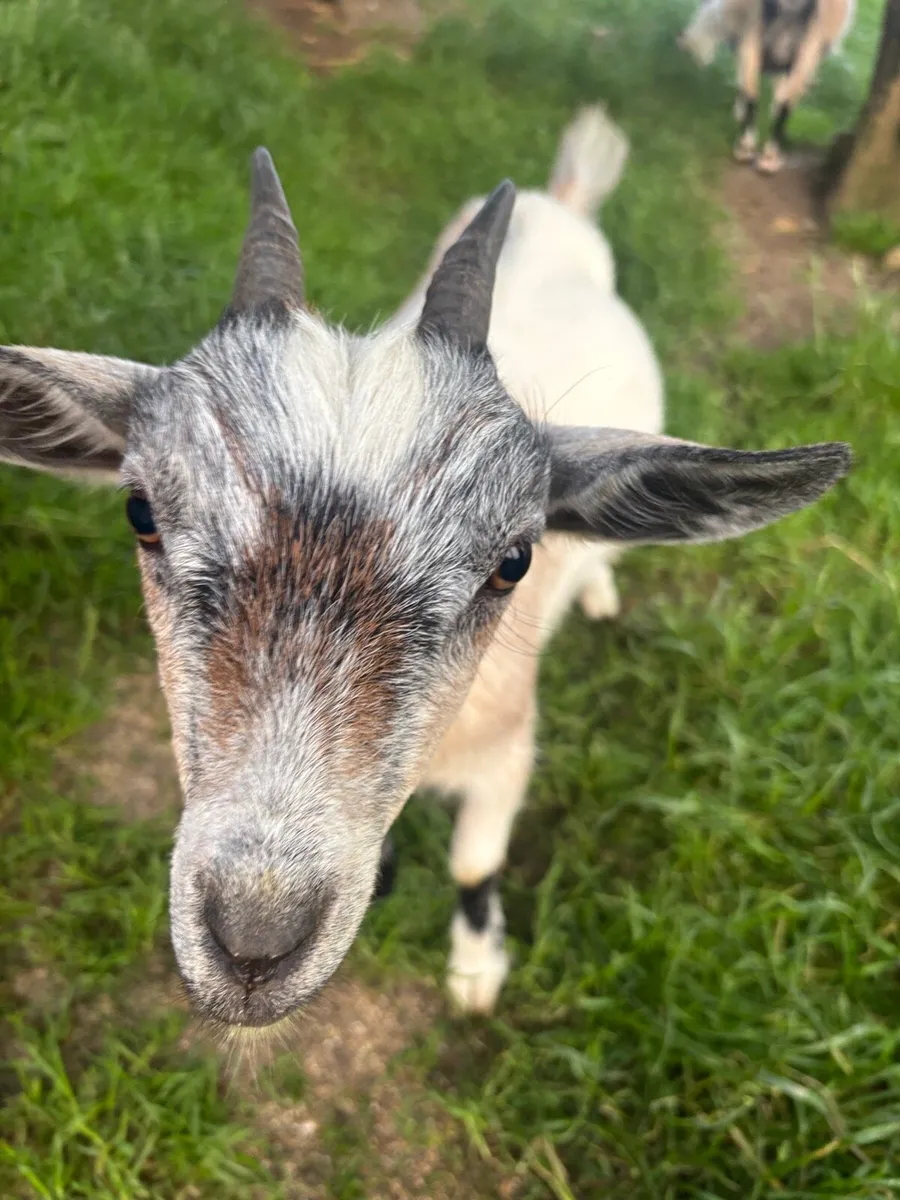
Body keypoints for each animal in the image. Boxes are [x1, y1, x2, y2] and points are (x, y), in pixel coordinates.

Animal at [0, 108, 850, 1029]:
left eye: (512, 560)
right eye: (141, 513)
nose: (254, 945)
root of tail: (561, 201)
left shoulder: (510, 754)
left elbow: (475, 866)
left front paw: (477, 970)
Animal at [678, 0, 856, 173]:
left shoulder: (808, 46)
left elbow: (785, 105)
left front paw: (770, 157)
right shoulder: (751, 33)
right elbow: (751, 93)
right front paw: (745, 147)